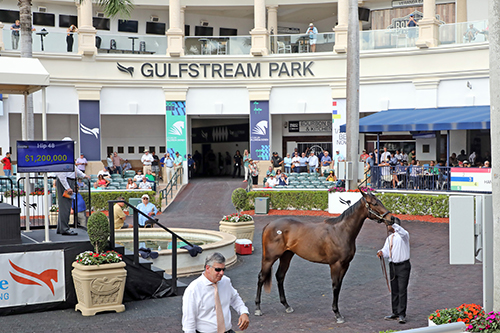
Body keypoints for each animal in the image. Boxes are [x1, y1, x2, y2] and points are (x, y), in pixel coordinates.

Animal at [254, 188, 398, 322]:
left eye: (380, 201)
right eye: (374, 203)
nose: (392, 218)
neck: (341, 231)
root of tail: (269, 224)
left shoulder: (345, 265)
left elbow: (339, 286)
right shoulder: (335, 265)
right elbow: (335, 286)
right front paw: (337, 314)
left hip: (286, 255)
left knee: (280, 276)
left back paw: (287, 306)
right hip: (269, 258)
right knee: (261, 277)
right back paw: (257, 308)